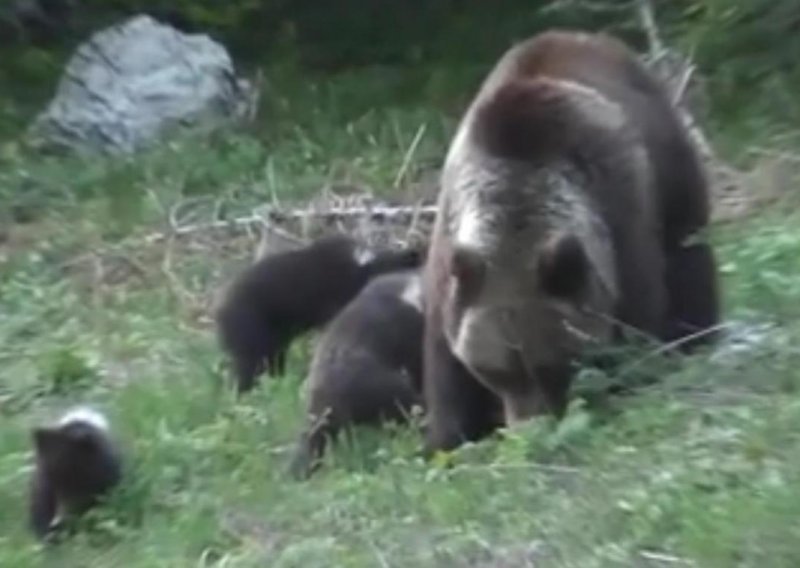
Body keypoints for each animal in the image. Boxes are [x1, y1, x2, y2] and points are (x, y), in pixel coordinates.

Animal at [422, 31, 720, 452]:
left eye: (550, 366)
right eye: (497, 370)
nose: (530, 431)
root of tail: (584, 38)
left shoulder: (622, 222)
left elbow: (637, 324)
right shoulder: (453, 257)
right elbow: (445, 367)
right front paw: (449, 437)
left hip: (669, 165)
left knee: (688, 252)